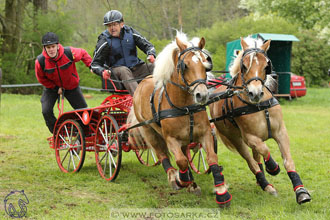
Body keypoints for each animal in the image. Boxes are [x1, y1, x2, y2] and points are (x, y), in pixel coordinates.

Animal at [127, 31, 231, 207]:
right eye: (185, 65)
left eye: (205, 64)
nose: (202, 95)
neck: (185, 107)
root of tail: (142, 82)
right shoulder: (171, 139)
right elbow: (181, 161)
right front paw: (181, 180)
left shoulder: (204, 134)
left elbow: (211, 158)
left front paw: (221, 191)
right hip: (149, 131)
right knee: (162, 154)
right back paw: (174, 177)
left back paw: (192, 183)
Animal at [210, 36, 310, 205]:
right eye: (244, 66)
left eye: (266, 66)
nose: (255, 93)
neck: (259, 106)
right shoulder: (250, 138)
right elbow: (265, 150)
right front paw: (272, 167)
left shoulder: (281, 132)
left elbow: (288, 161)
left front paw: (301, 191)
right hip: (236, 139)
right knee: (251, 162)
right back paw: (265, 183)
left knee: (256, 159)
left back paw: (262, 181)